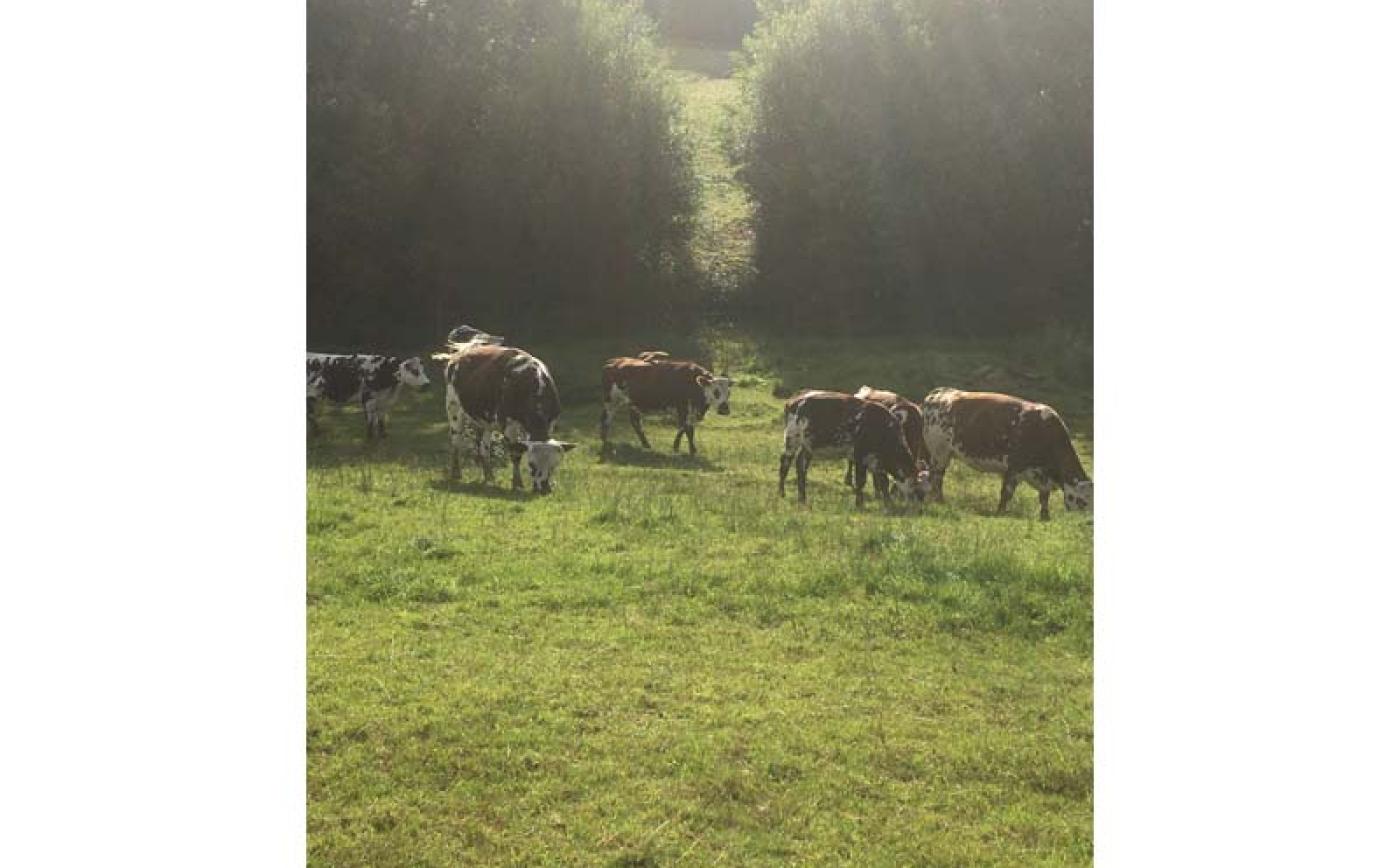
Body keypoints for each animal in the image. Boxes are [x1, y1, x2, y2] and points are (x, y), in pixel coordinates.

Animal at [431, 340, 574, 492]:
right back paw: (456, 474)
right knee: (456, 442)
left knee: (483, 447)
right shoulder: (509, 425)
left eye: (554, 465)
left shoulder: (550, 422)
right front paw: (517, 484)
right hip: (454, 410)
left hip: (484, 421)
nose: (544, 490)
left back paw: (489, 477)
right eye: (531, 464)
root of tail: (462, 353)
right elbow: (515, 455)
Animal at [599, 355, 733, 456]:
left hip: (632, 403)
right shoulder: (682, 408)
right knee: (606, 419)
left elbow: (683, 428)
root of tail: (613, 361)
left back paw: (646, 444)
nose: (724, 409)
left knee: (635, 422)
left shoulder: (691, 412)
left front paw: (676, 446)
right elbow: (688, 429)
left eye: (729, 392)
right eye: (716, 391)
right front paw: (692, 450)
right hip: (610, 400)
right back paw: (605, 441)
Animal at [778, 389, 929, 504]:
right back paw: (782, 492)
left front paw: (888, 503)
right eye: (918, 490)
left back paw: (802, 497)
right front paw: (859, 503)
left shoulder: (876, 460)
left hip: (808, 445)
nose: (920, 509)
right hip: (792, 439)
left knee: (801, 465)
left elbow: (883, 482)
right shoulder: (859, 456)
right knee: (785, 462)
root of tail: (796, 399)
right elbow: (861, 481)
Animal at [918, 389, 1092, 520]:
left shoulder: (1041, 476)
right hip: (939, 453)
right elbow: (1006, 493)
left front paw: (1045, 517)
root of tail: (940, 393)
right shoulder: (1014, 468)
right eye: (1082, 501)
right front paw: (1000, 513)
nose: (1088, 522)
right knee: (937, 478)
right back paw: (939, 501)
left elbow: (1044, 497)